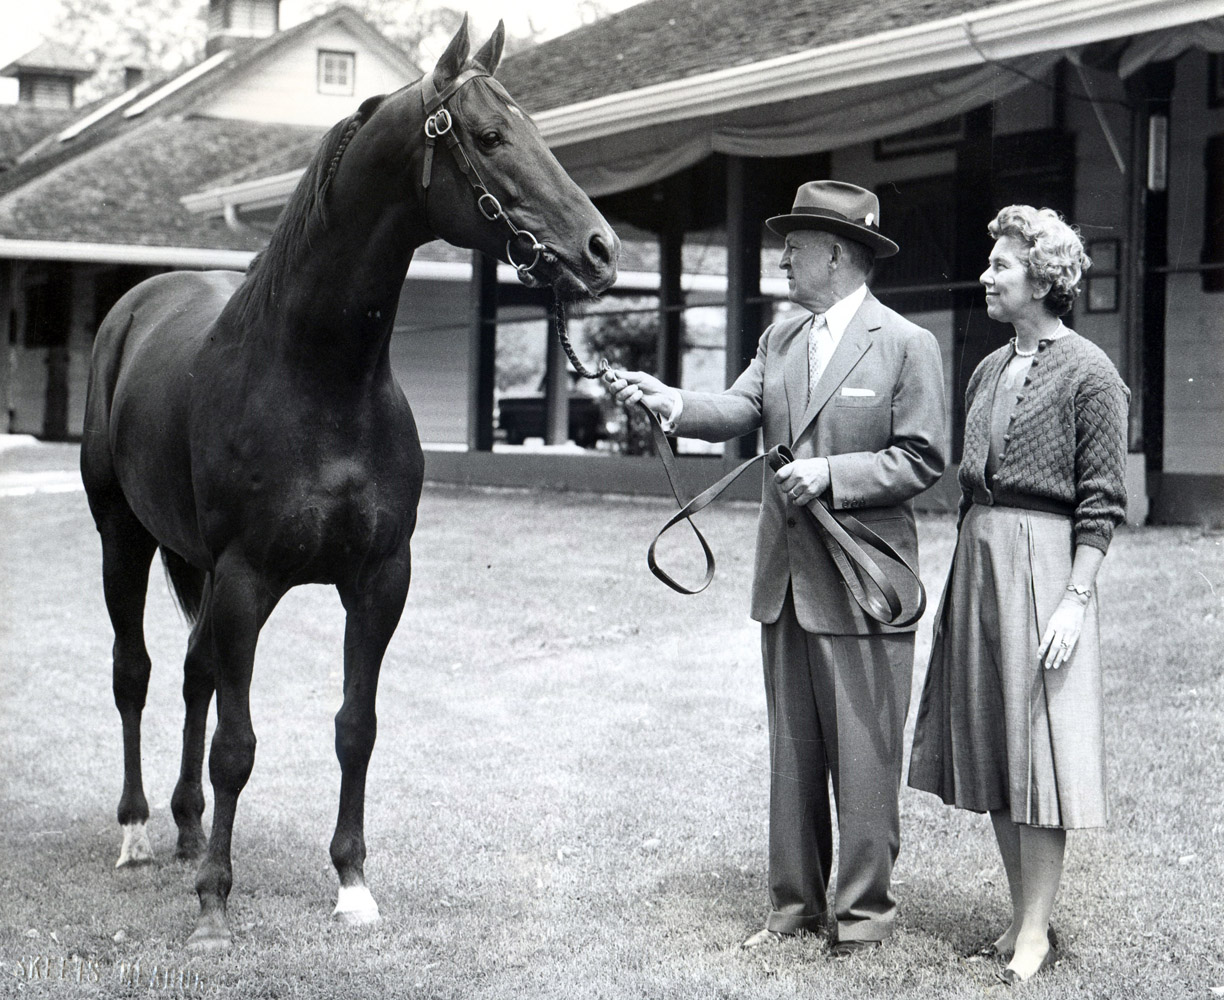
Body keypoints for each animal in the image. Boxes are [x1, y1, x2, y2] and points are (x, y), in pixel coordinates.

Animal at [80, 19, 616, 949]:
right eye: (489, 136)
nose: (600, 249)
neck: (319, 381)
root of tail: (135, 307)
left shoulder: (378, 580)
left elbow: (354, 729)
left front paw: (352, 884)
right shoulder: (246, 580)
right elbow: (237, 746)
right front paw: (215, 904)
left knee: (190, 674)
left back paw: (186, 828)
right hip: (125, 540)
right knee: (134, 673)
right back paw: (140, 833)